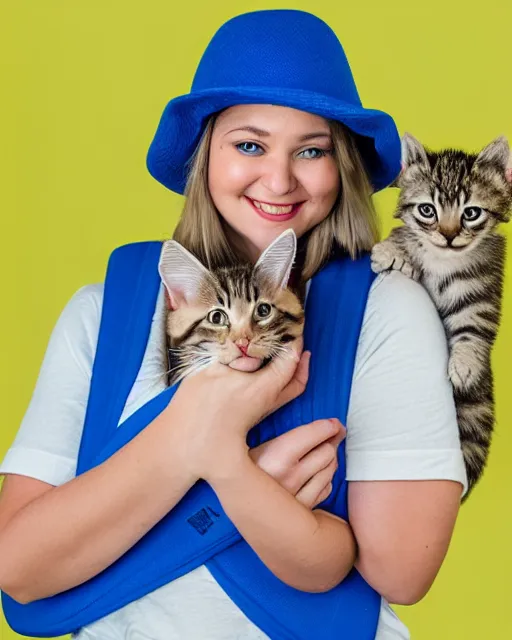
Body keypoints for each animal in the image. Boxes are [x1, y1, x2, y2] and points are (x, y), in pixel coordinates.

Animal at [370, 132, 512, 498]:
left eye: (471, 213)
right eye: (427, 210)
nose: (448, 236)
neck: (444, 260)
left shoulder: (482, 293)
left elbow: (473, 327)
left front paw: (464, 364)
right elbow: (403, 238)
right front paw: (392, 253)